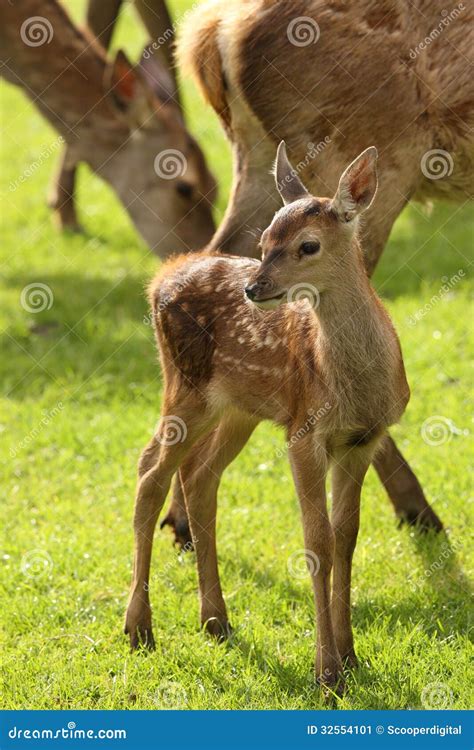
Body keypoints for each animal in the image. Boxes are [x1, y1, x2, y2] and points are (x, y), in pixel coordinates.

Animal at [126, 142, 412, 692]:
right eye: (263, 241)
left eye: (307, 246)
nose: (255, 288)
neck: (356, 388)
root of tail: (159, 279)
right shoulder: (304, 432)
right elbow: (317, 540)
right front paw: (327, 672)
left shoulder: (362, 439)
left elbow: (347, 536)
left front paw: (351, 655)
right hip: (186, 387)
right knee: (150, 473)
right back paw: (139, 629)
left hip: (239, 408)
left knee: (199, 475)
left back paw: (215, 620)